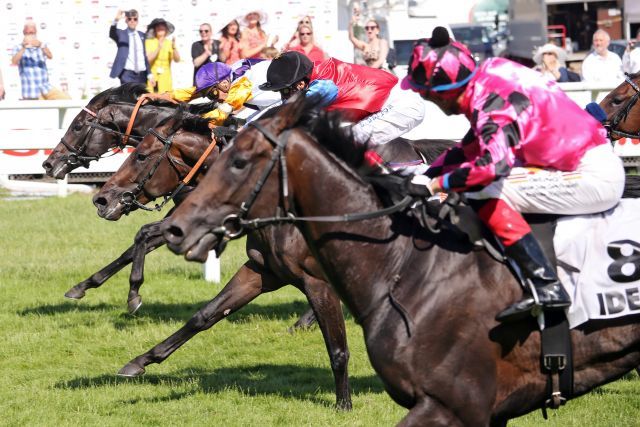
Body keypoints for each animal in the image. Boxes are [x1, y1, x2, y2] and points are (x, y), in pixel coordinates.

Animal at [162, 95, 640, 426]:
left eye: (240, 163)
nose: (174, 228)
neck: (404, 262)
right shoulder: (266, 271)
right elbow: (204, 315)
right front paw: (146, 362)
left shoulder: (453, 401)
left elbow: (337, 346)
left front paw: (343, 403)